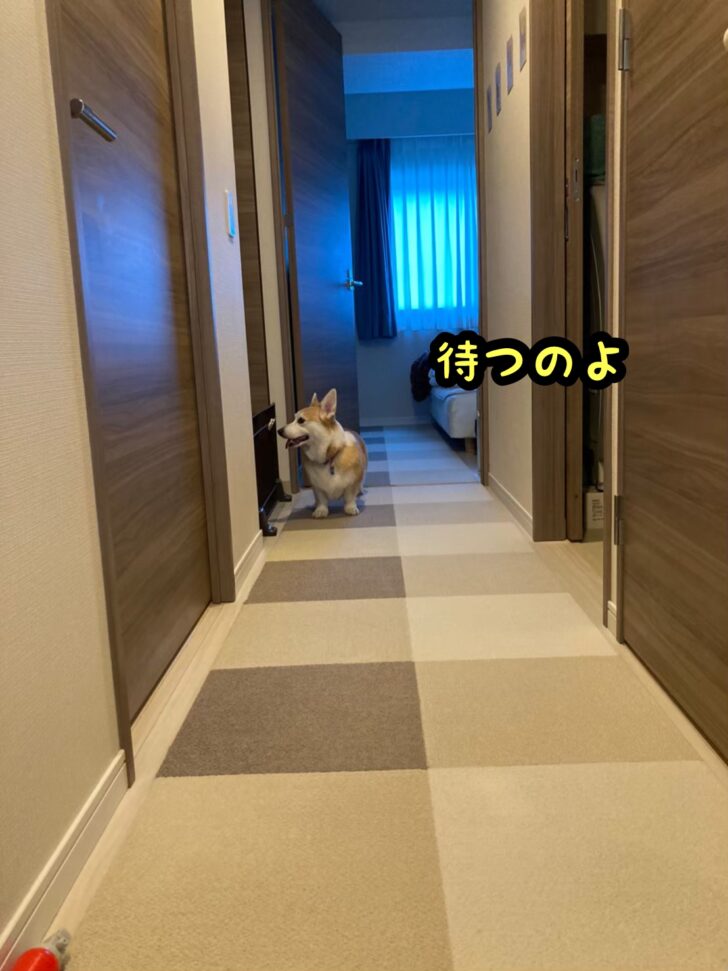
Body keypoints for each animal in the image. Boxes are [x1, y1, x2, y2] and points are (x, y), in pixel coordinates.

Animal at [278, 389, 367, 518]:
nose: (279, 431)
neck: (330, 456)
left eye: (301, 420)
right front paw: (321, 510)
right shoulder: (317, 487)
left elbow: (349, 497)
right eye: (294, 418)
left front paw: (350, 508)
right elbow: (321, 499)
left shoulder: (352, 483)